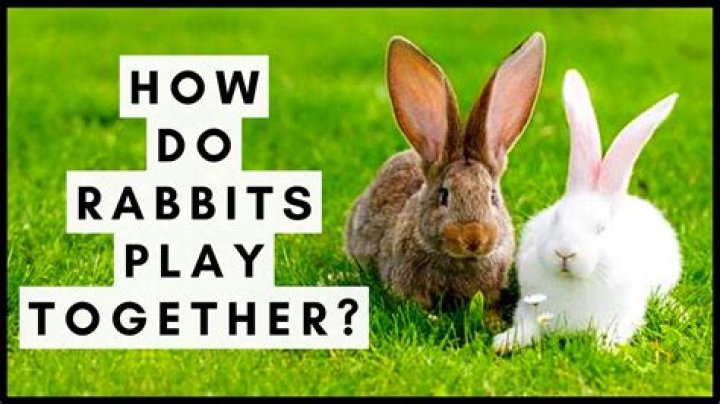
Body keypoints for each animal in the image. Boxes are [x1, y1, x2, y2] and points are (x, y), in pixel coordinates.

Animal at [493, 69, 682, 352]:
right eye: (556, 218)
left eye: (601, 228)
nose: (565, 252)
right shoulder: (529, 308)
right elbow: (526, 327)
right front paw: (504, 343)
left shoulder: (624, 314)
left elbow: (614, 331)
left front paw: (605, 349)